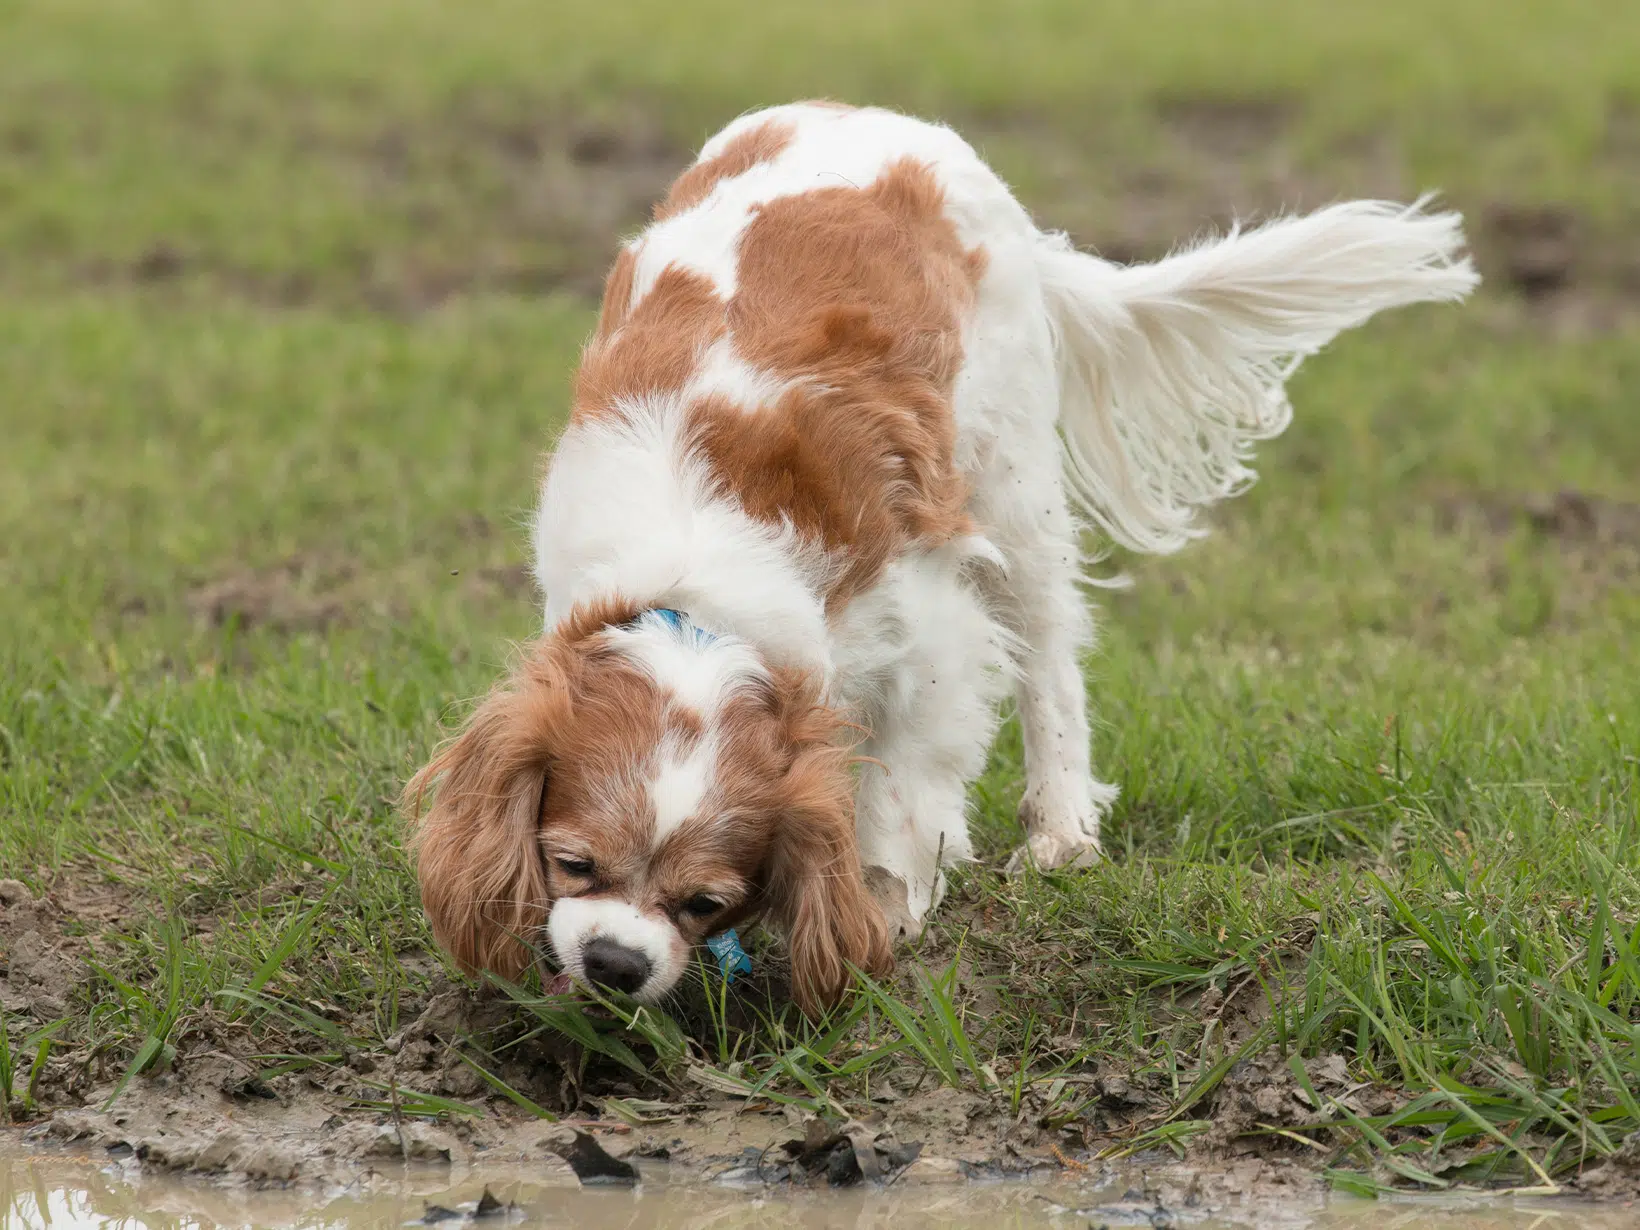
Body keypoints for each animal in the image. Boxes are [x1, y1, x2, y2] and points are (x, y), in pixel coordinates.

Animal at [403, 101, 1482, 1016]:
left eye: (705, 900)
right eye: (572, 862)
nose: (615, 962)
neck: (694, 588)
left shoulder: (928, 627)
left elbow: (906, 775)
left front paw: (886, 900)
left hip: (1010, 490)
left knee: (1050, 659)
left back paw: (1059, 830)